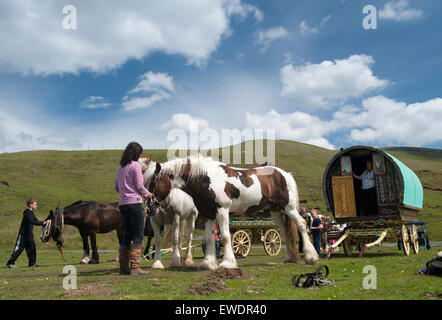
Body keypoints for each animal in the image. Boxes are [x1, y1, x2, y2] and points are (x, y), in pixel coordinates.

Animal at [142, 155, 318, 270]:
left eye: (153, 183)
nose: (149, 209)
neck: (207, 179)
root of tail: (284, 174)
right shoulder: (208, 214)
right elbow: (209, 238)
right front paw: (208, 263)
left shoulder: (222, 210)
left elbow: (226, 237)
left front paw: (227, 263)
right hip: (276, 211)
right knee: (284, 231)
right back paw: (289, 258)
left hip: (289, 208)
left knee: (301, 224)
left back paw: (311, 256)